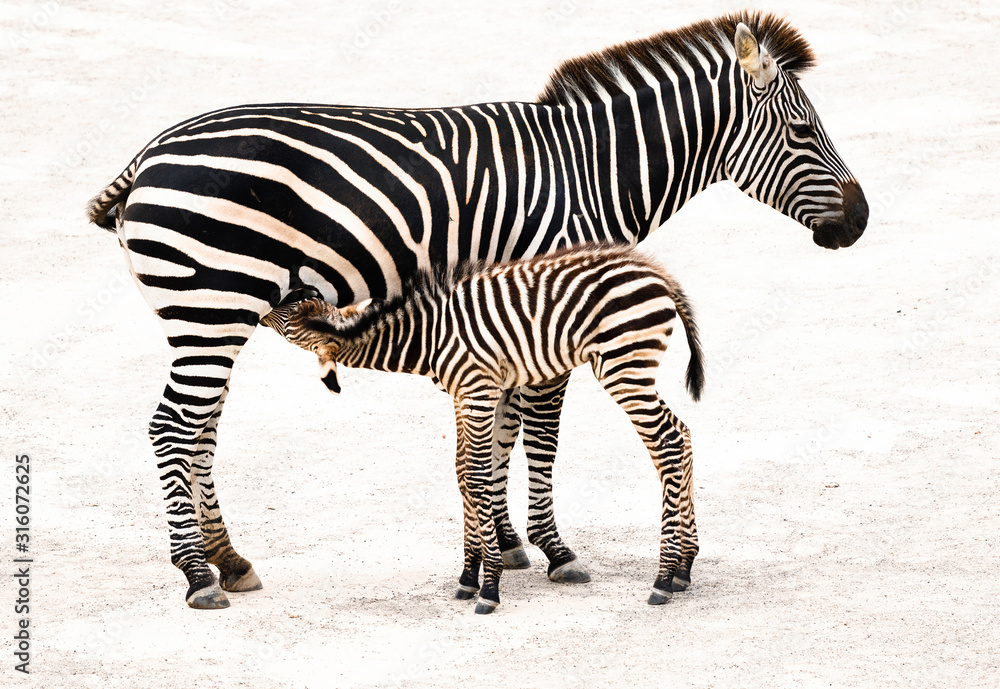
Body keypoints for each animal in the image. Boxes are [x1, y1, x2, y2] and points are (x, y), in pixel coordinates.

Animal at [264, 244, 704, 613]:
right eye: (297, 299)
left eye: (290, 319)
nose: (266, 302)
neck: (427, 338)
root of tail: (656, 273)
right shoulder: (465, 396)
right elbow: (464, 474)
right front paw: (468, 576)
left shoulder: (477, 390)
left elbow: (476, 477)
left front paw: (489, 586)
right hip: (632, 369)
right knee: (681, 435)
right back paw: (683, 567)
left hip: (623, 366)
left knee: (667, 442)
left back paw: (663, 578)